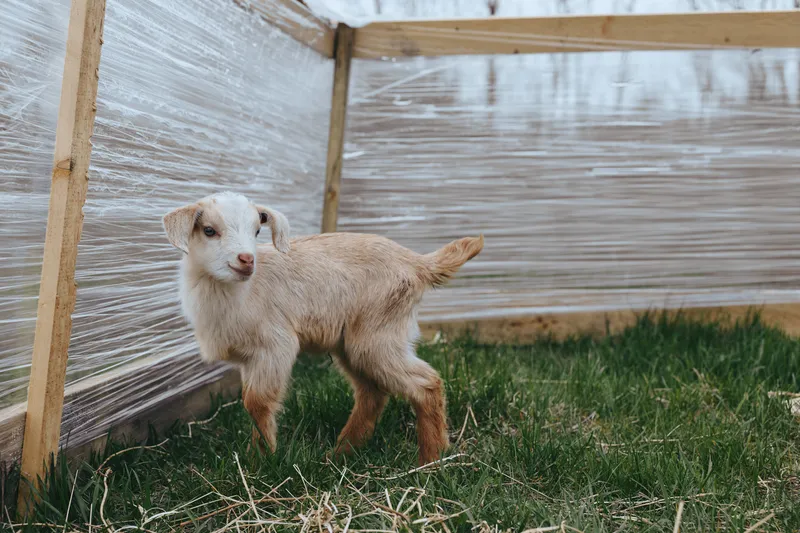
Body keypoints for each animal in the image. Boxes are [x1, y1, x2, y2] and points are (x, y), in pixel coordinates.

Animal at [163, 191, 483, 465]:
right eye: (208, 230)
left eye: (257, 231)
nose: (247, 260)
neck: (236, 292)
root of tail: (417, 263)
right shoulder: (248, 359)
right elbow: (252, 403)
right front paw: (258, 458)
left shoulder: (274, 345)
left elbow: (256, 402)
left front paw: (261, 462)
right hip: (352, 343)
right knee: (372, 392)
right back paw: (342, 452)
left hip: (378, 334)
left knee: (426, 384)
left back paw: (431, 459)